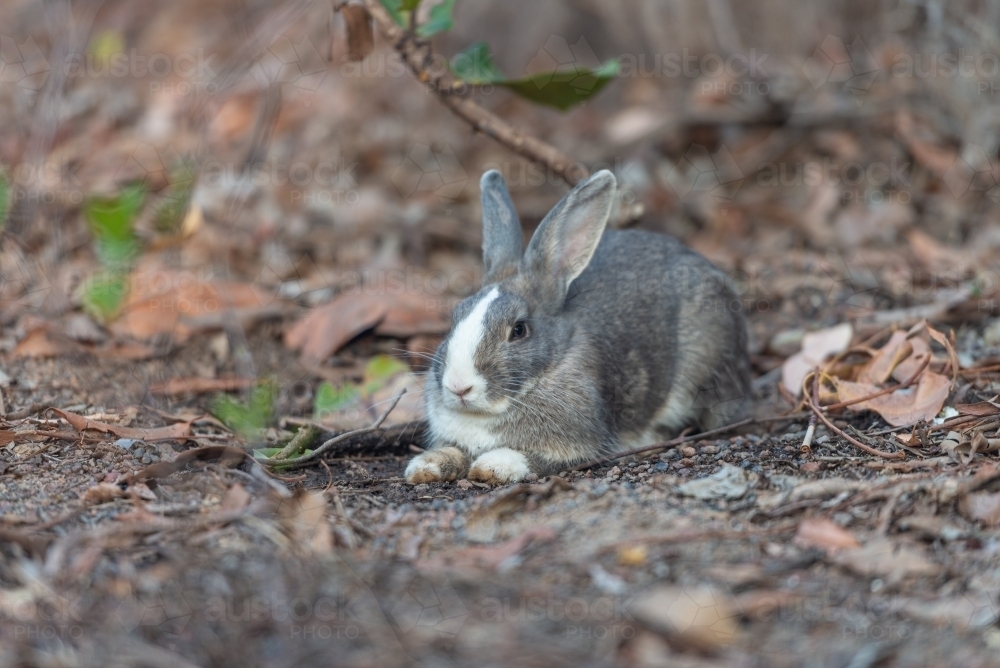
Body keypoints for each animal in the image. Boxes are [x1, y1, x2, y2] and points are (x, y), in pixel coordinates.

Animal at [405, 169, 751, 485]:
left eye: (519, 330)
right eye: (455, 316)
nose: (458, 387)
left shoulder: (578, 447)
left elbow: (530, 458)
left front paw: (493, 466)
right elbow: (451, 452)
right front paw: (423, 466)